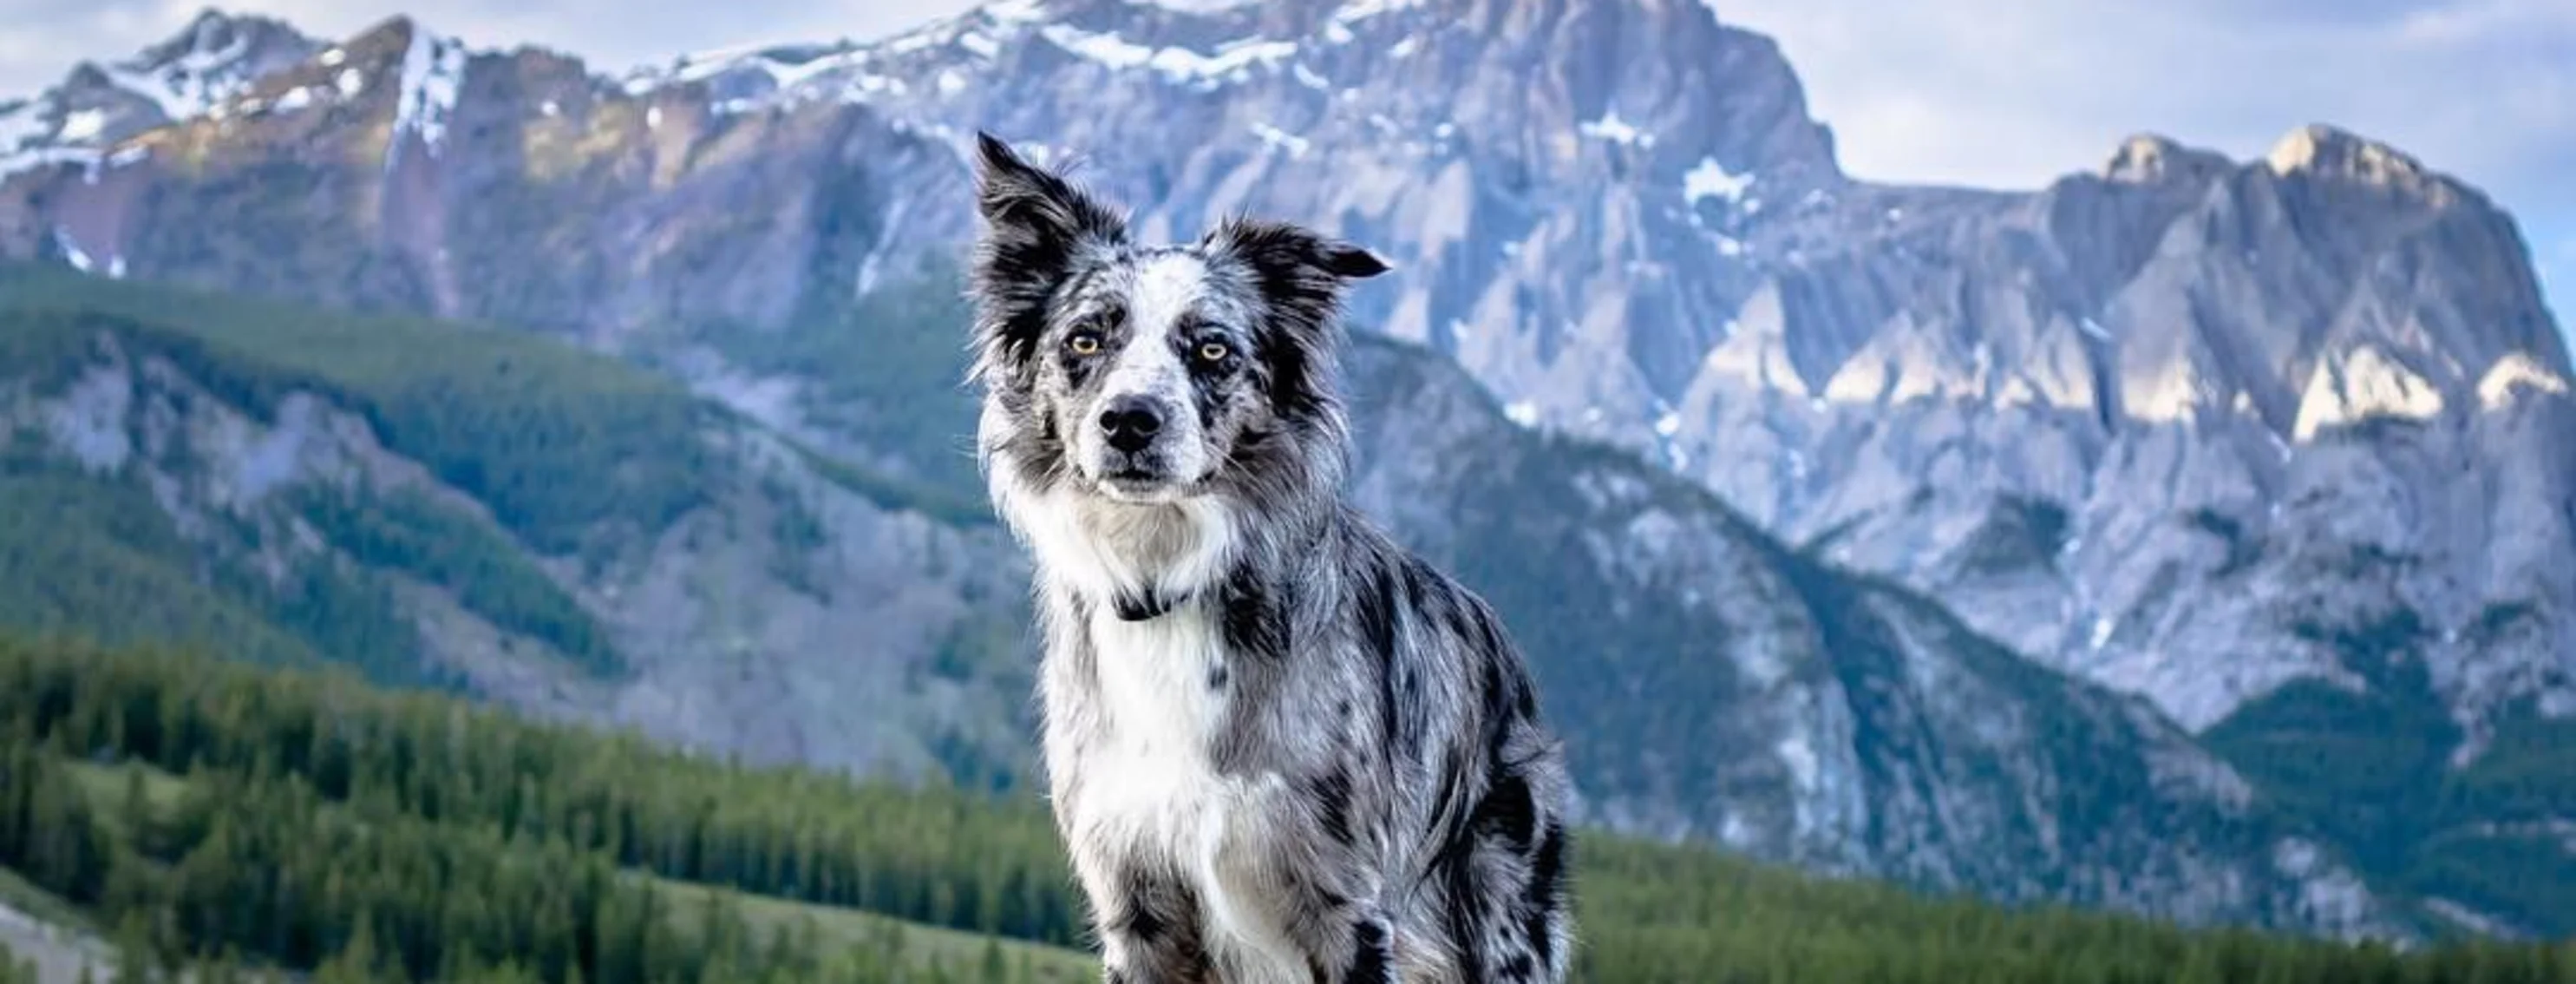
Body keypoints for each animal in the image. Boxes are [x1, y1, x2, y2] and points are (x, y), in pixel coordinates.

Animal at [968, 132, 1566, 984]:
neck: (1169, 580)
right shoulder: (1137, 903)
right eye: (1085, 339)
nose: (1129, 421)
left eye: (1213, 348)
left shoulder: (1343, 909)